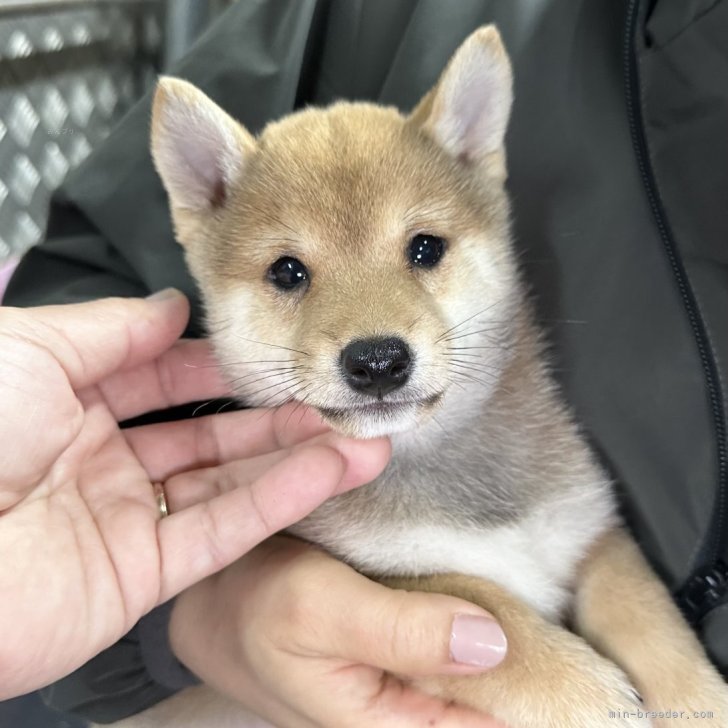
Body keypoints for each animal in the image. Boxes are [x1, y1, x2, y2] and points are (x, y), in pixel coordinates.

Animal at [139, 25, 724, 728]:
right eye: (286, 271)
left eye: (424, 248)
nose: (376, 361)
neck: (451, 473)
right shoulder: (393, 577)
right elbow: (491, 612)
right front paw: (588, 695)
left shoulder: (591, 533)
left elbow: (651, 621)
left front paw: (699, 695)